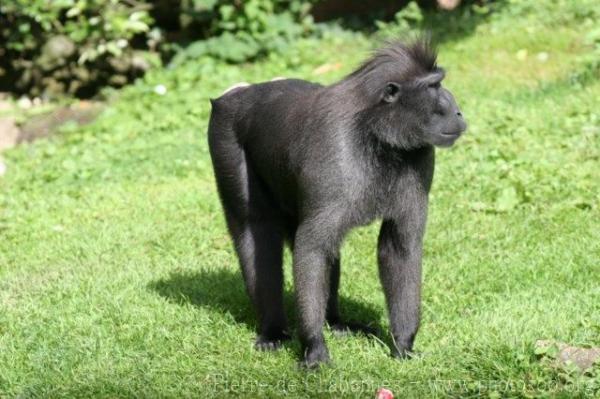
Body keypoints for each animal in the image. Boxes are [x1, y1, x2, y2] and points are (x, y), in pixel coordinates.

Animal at [209, 39, 466, 368]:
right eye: (434, 86)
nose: (458, 112)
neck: (374, 132)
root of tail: (236, 93)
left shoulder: (420, 155)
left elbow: (399, 246)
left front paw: (403, 345)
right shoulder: (335, 152)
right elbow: (311, 247)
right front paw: (315, 350)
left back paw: (336, 322)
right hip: (225, 139)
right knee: (256, 232)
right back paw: (274, 332)